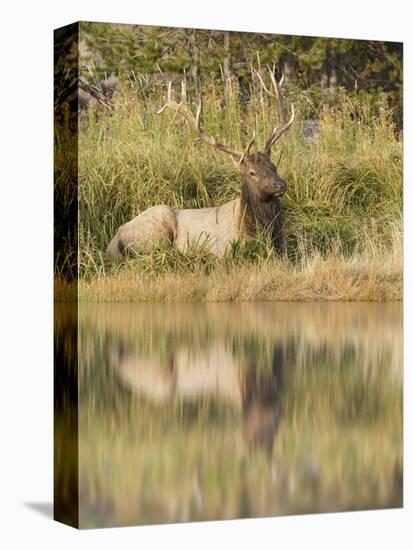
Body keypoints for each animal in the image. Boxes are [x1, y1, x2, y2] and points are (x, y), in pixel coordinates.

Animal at [106, 68, 292, 258]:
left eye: (274, 166)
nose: (280, 184)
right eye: (251, 172)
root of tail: (114, 240)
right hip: (157, 231)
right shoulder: (223, 250)